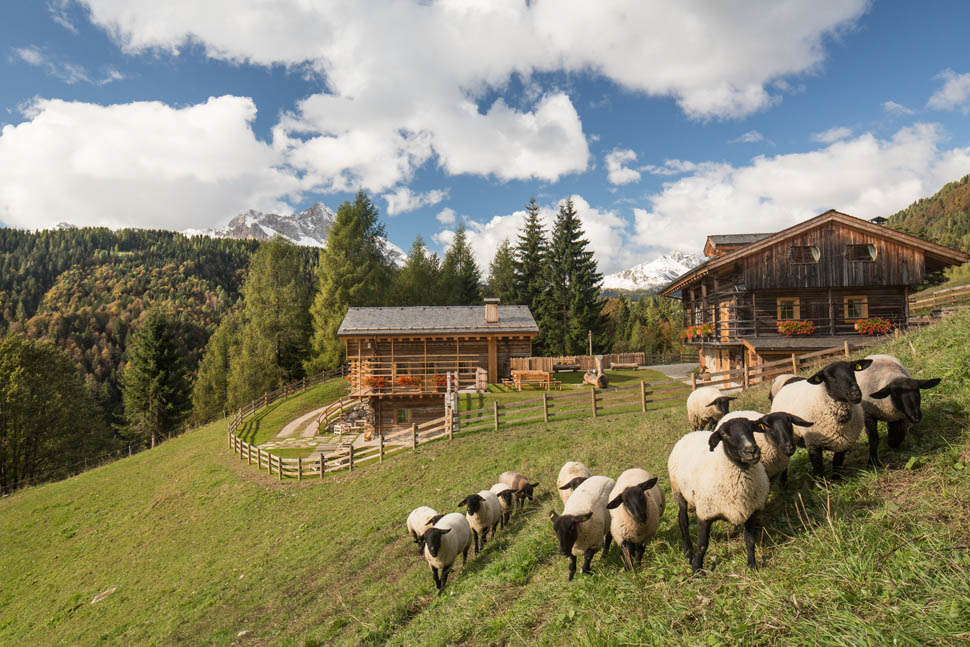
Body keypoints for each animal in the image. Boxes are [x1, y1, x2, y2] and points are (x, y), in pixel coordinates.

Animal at [668, 416, 768, 572]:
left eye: (751, 427)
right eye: (724, 434)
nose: (751, 451)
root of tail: (691, 433)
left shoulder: (752, 511)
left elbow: (750, 540)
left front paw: (752, 565)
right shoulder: (705, 513)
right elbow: (702, 544)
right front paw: (697, 569)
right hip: (678, 491)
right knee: (683, 520)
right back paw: (688, 553)